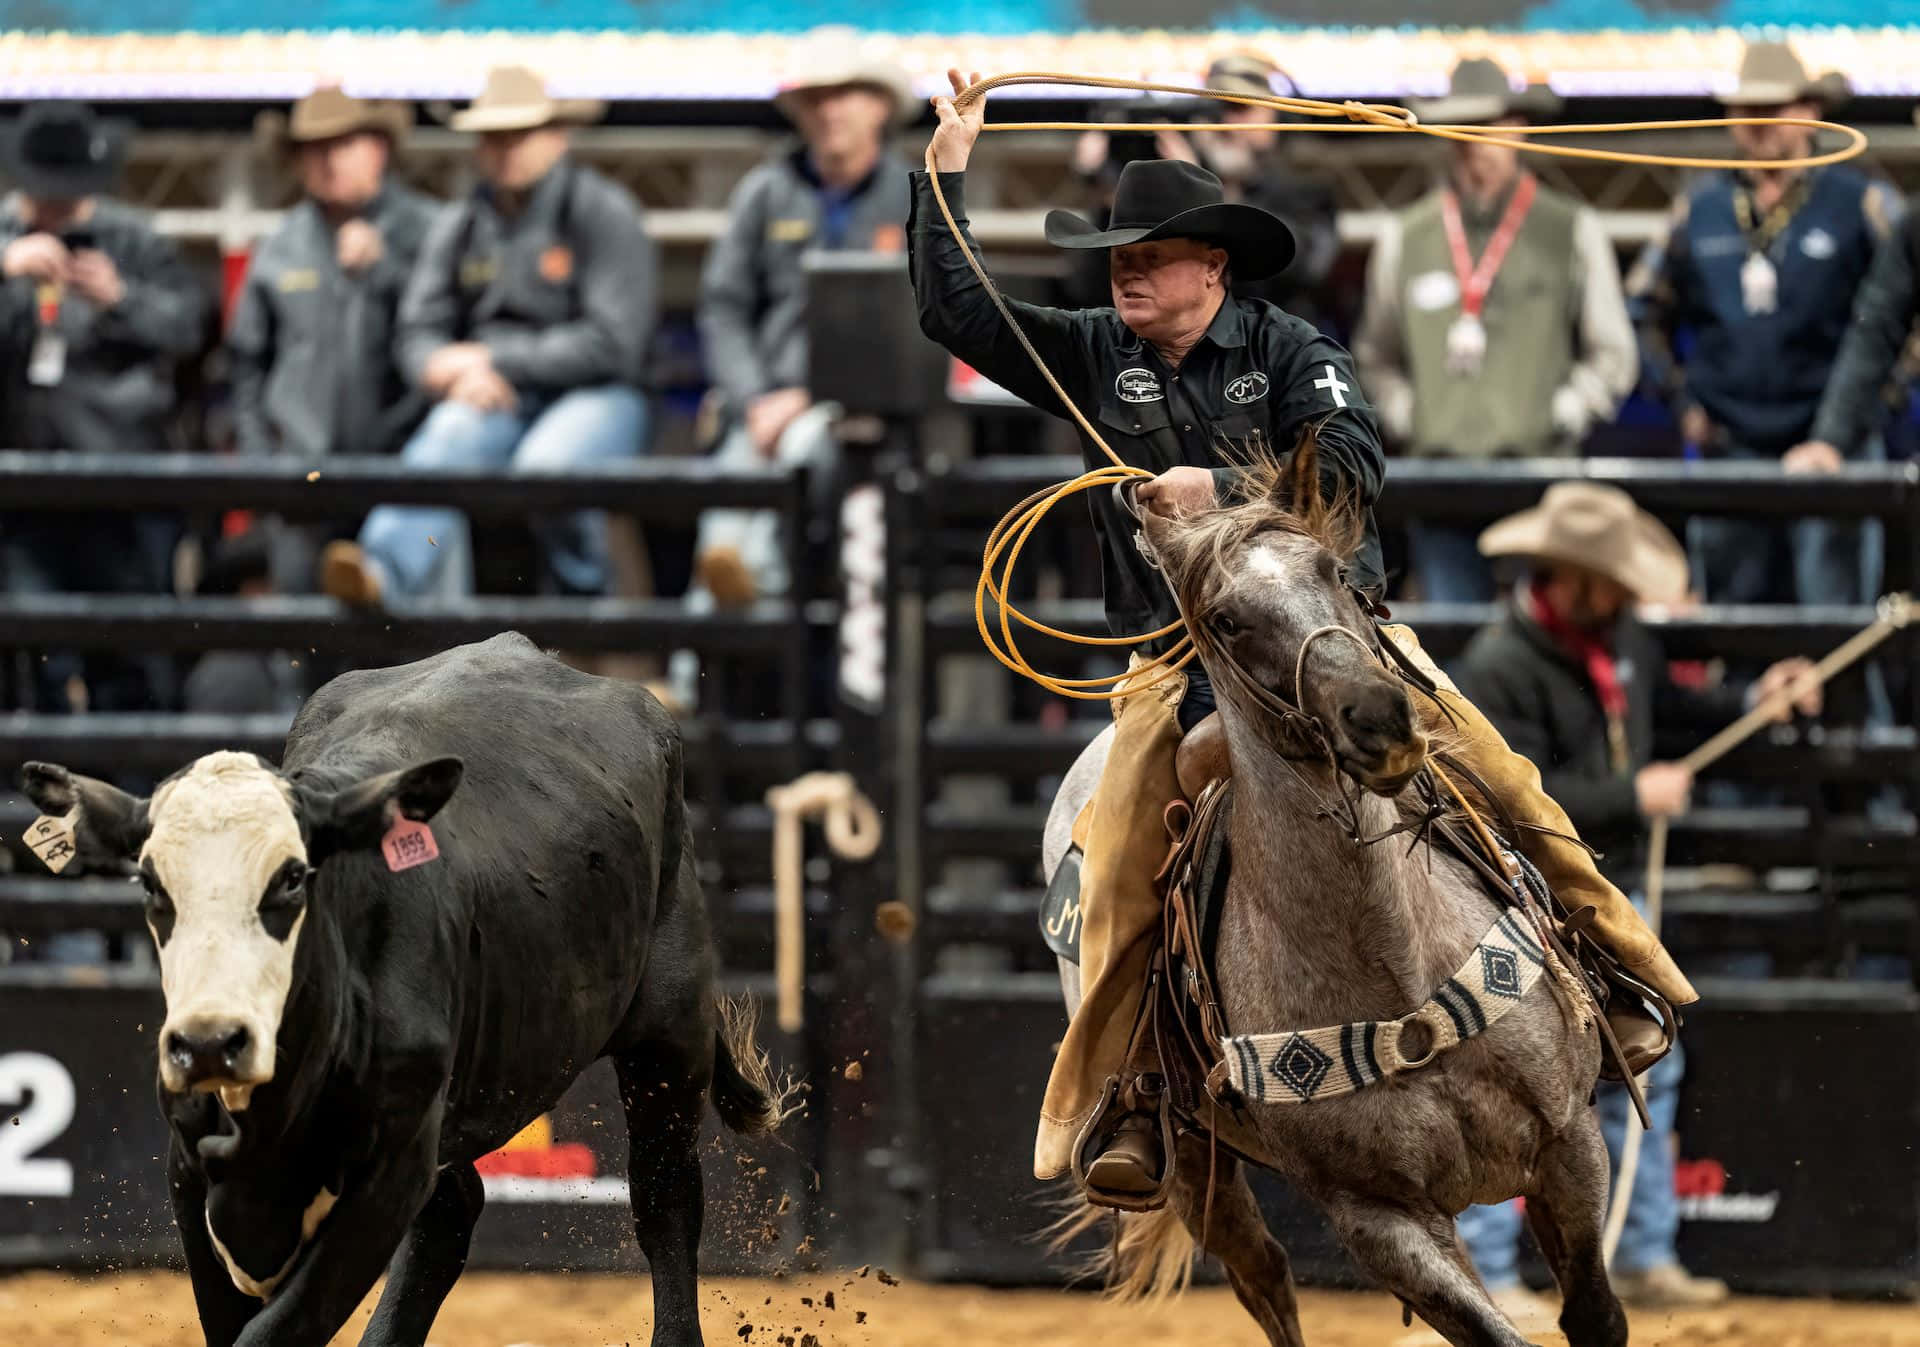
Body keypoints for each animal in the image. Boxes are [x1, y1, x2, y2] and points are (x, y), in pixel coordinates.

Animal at [1041, 443, 1624, 1347]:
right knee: (1264, 1276)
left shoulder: (1570, 1144)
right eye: (1227, 620)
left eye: (1335, 572)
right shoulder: (1375, 1217)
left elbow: (1592, 1313)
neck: (1396, 967)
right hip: (1193, 1163)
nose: (1379, 716)